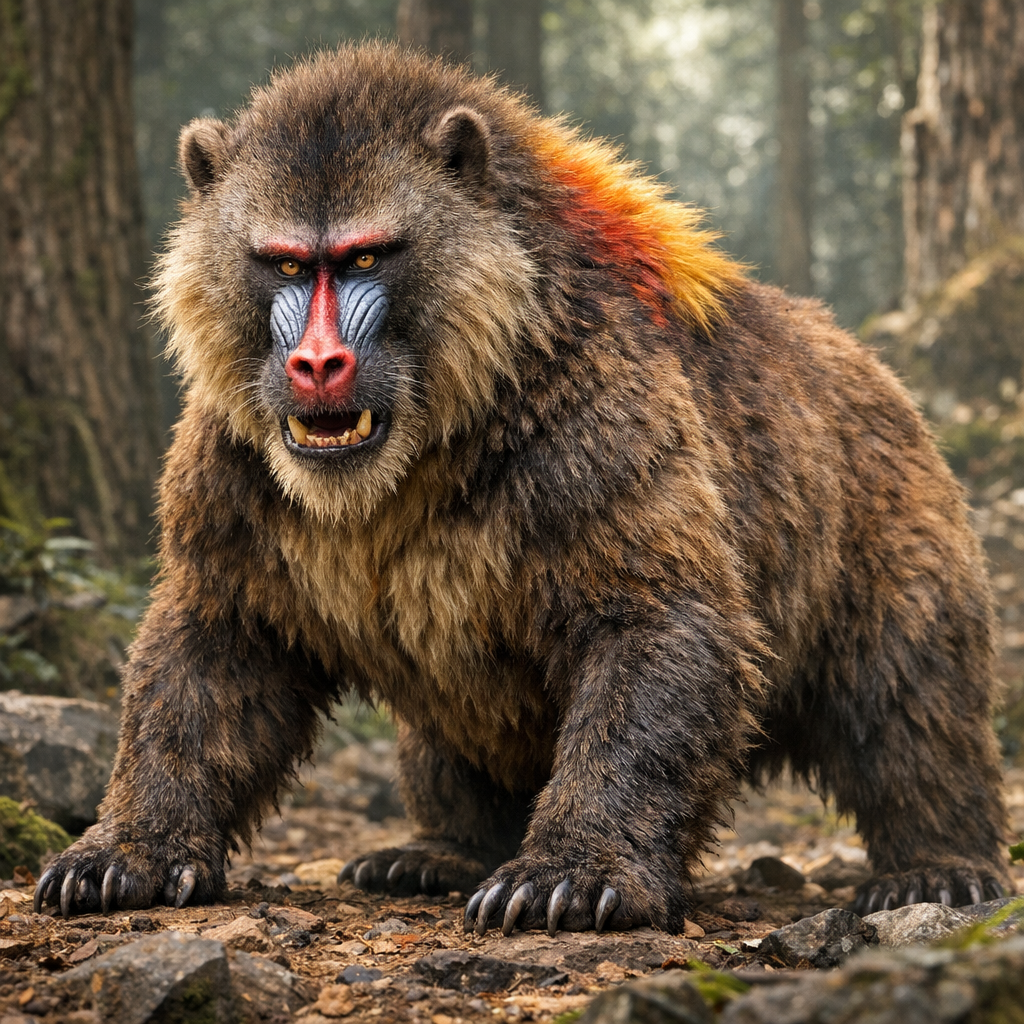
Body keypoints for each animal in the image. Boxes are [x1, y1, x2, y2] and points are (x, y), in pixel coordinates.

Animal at [36, 43, 1010, 934]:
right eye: (281, 262)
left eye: (364, 258)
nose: (317, 364)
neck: (416, 452)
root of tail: (881, 374)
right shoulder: (238, 478)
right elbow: (209, 661)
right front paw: (122, 853)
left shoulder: (595, 435)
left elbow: (657, 629)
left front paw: (569, 873)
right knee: (443, 741)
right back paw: (435, 849)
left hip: (889, 536)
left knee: (907, 704)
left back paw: (938, 863)